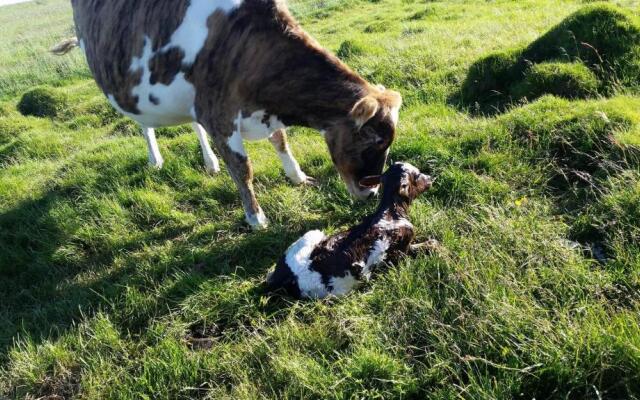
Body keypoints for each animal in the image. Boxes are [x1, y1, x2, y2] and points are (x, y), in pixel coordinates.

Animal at [262, 161, 432, 298]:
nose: (430, 178)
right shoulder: (403, 249)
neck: (390, 213)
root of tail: (280, 278)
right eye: (417, 175)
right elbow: (431, 244)